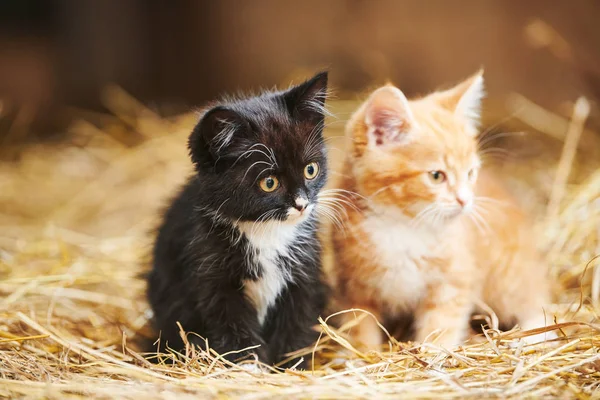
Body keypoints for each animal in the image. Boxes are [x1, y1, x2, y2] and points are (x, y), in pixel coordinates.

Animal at [148, 71, 330, 368]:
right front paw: (249, 366)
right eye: (269, 182)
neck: (265, 231)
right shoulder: (212, 275)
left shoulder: (303, 272)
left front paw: (293, 365)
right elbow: (232, 324)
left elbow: (297, 319)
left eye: (311, 170)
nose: (302, 204)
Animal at [330, 72, 556, 350]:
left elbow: (441, 322)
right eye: (436, 176)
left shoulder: (454, 279)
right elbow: (359, 324)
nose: (465, 200)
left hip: (509, 275)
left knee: (535, 302)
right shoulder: (353, 283)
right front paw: (359, 353)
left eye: (470, 173)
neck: (404, 226)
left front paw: (434, 351)